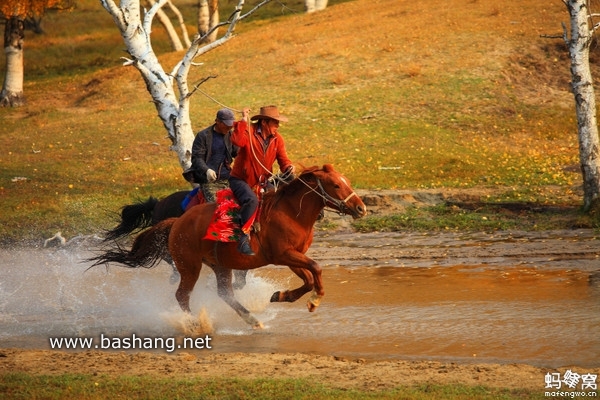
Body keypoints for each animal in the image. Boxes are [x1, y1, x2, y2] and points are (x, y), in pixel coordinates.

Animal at [88, 165, 366, 328]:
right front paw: (315, 300)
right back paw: (194, 324)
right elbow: (316, 269)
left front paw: (281, 296)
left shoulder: (291, 256)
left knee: (225, 293)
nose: (361, 208)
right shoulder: (285, 254)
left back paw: (253, 320)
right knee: (182, 294)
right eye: (337, 185)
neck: (290, 212)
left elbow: (308, 278)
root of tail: (177, 221)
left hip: (220, 265)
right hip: (190, 266)